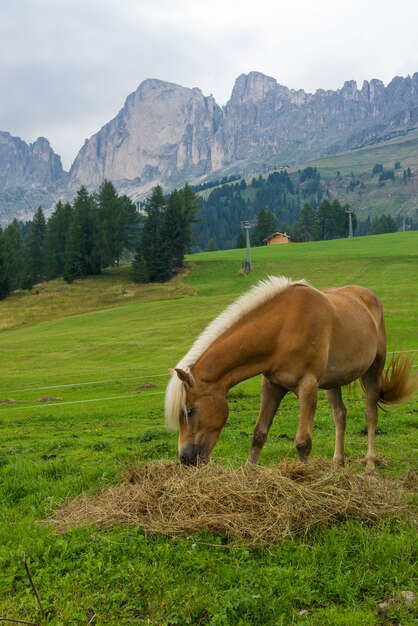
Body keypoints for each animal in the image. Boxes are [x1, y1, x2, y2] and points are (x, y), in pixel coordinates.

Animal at [165, 276, 416, 470]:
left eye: (190, 411)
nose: (185, 459)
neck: (281, 330)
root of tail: (369, 297)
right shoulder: (272, 386)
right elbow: (259, 434)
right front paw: (249, 472)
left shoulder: (308, 387)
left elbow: (303, 442)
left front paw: (302, 477)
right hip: (332, 383)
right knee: (340, 416)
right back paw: (337, 466)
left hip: (373, 370)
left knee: (371, 415)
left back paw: (370, 467)